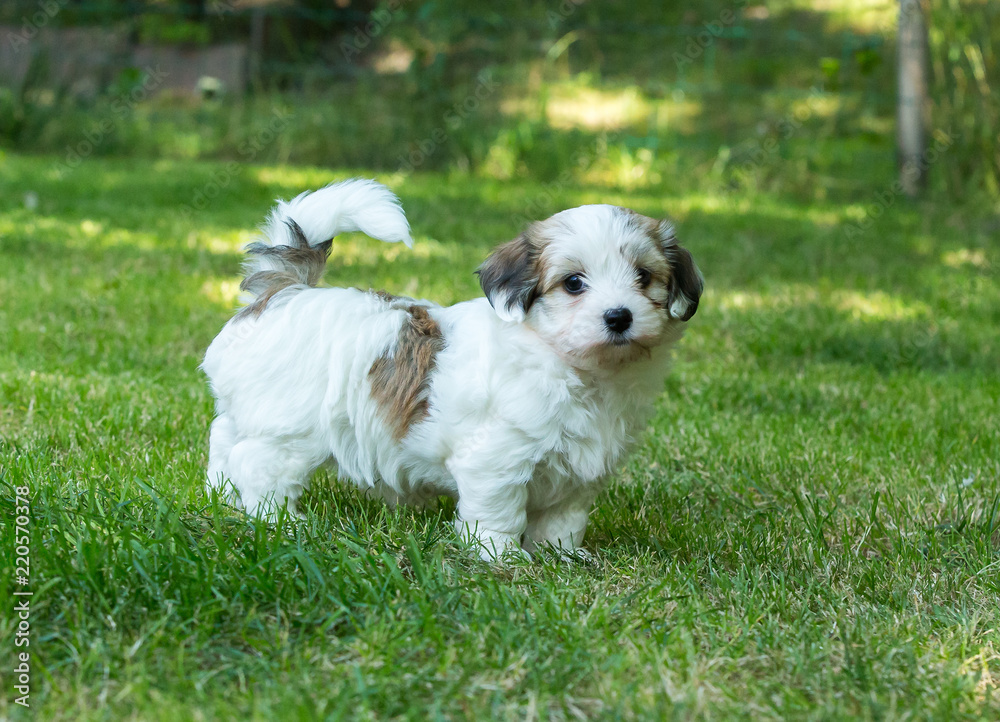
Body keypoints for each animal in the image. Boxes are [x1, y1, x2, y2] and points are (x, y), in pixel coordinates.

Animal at [201, 177, 704, 560]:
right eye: (574, 283)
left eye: (644, 277)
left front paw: (561, 555)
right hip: (290, 428)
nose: (619, 316)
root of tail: (285, 293)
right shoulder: (497, 459)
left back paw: (221, 496)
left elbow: (563, 517)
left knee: (225, 439)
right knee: (258, 463)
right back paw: (278, 521)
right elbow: (498, 513)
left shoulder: (578, 474)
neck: (573, 368)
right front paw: (501, 558)